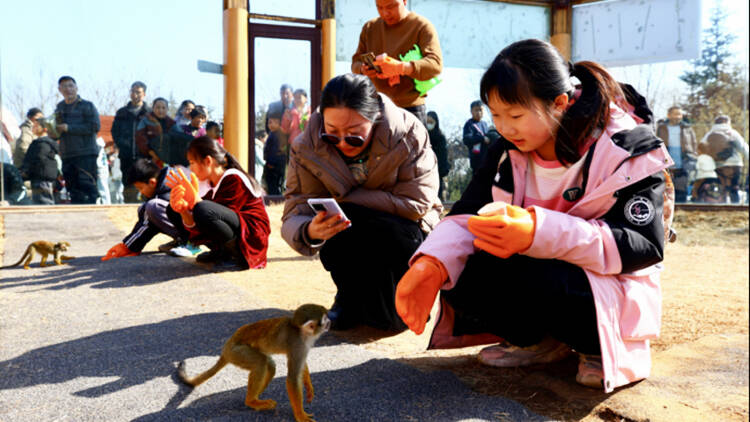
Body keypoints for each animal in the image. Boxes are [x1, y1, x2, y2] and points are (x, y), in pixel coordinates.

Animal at [178, 304, 330, 422]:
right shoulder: (297, 344)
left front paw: (308, 386)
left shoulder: (304, 345)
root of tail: (226, 348)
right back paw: (251, 401)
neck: (302, 332)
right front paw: (300, 415)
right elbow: (293, 378)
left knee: (269, 365)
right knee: (260, 363)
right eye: (324, 320)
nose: (330, 322)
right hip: (237, 352)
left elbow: (300, 367)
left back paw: (256, 398)